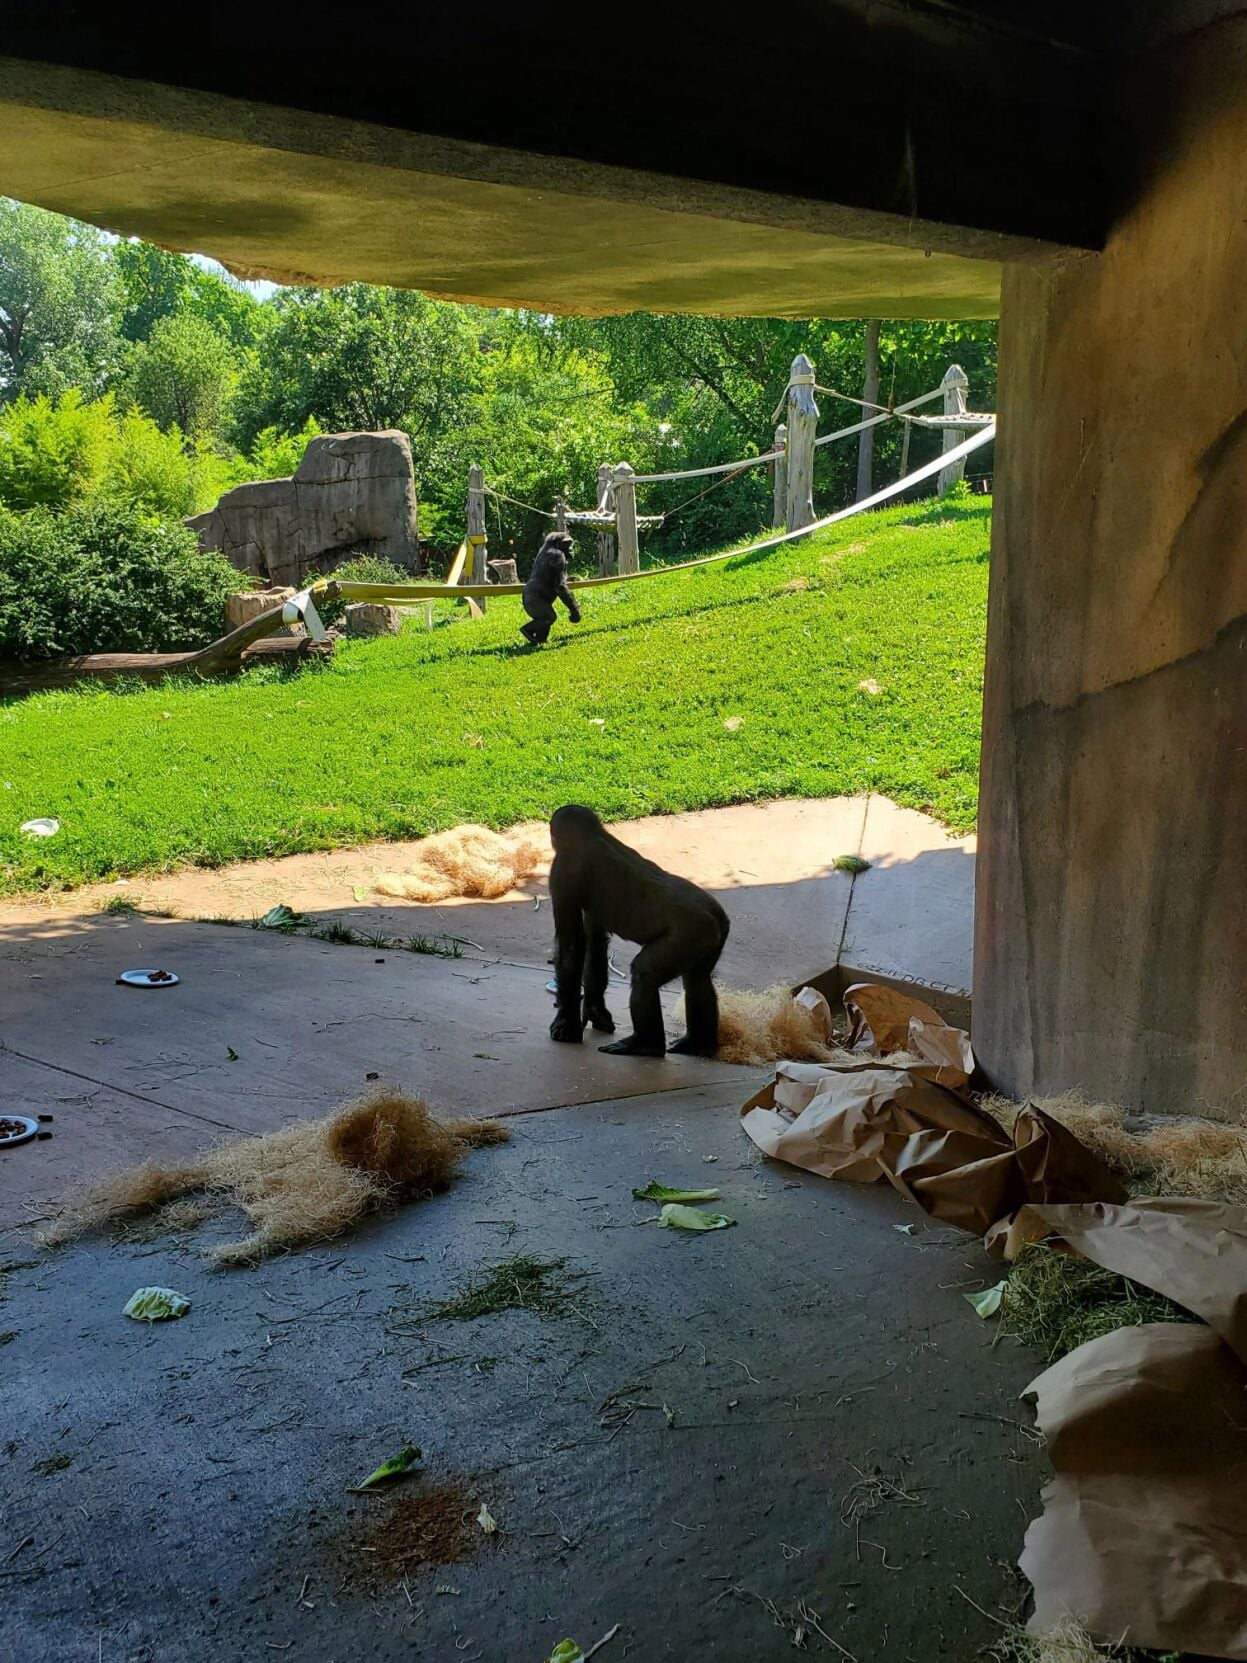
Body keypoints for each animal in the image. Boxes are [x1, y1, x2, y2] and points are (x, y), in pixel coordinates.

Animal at [546, 805, 729, 1057]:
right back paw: (697, 1044)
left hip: (692, 933)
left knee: (645, 972)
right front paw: (594, 1010)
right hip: (711, 938)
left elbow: (571, 946)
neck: (594, 835)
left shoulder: (562, 870)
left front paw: (566, 1022)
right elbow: (595, 940)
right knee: (697, 980)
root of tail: (717, 917)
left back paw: (645, 1044)